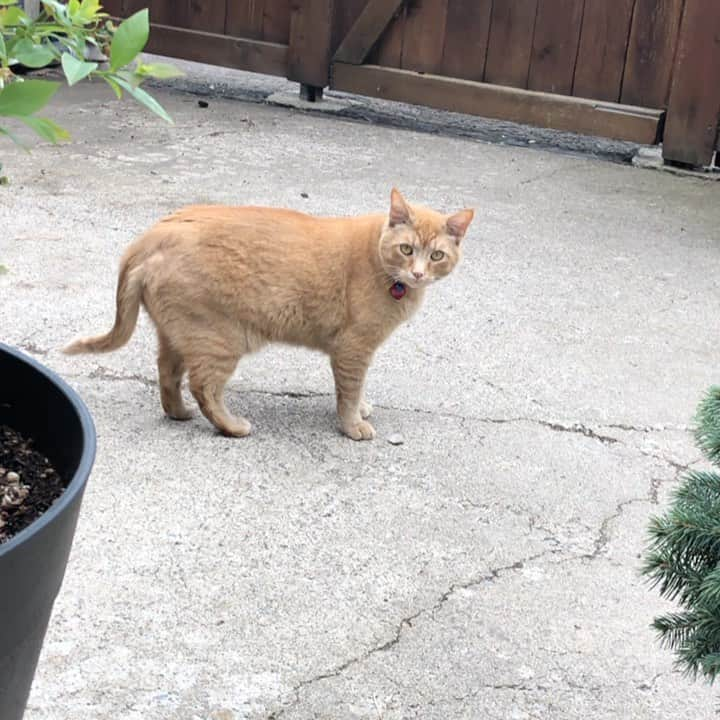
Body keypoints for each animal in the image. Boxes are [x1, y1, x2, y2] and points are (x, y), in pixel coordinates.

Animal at [66, 190, 472, 438]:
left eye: (436, 255)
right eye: (406, 249)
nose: (417, 273)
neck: (379, 260)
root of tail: (150, 236)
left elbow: (357, 391)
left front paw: (361, 410)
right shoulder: (353, 349)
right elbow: (349, 392)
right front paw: (353, 424)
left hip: (179, 335)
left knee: (167, 376)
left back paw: (179, 413)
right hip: (220, 340)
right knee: (204, 387)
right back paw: (232, 426)